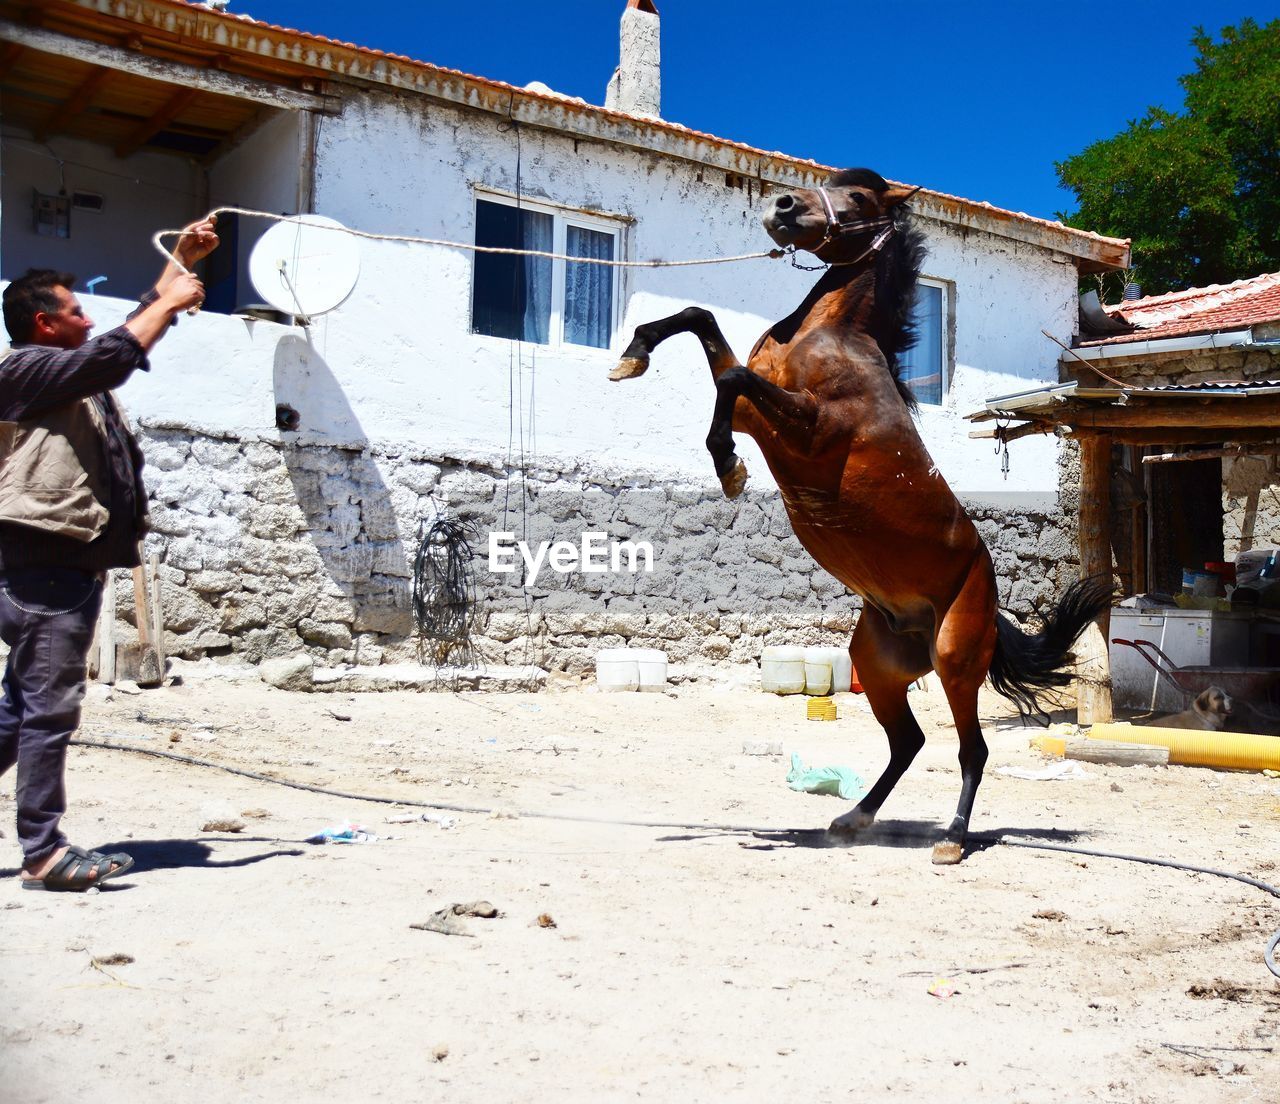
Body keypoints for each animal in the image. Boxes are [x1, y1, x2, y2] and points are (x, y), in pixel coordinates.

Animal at [611, 169, 1111, 870]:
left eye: (858, 200)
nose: (781, 206)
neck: (829, 338)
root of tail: (988, 604)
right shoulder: (759, 412)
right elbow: (702, 325)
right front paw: (632, 355)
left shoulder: (807, 426)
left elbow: (732, 378)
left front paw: (728, 467)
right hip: (876, 667)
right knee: (908, 743)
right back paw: (853, 818)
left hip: (956, 660)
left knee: (971, 749)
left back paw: (951, 839)